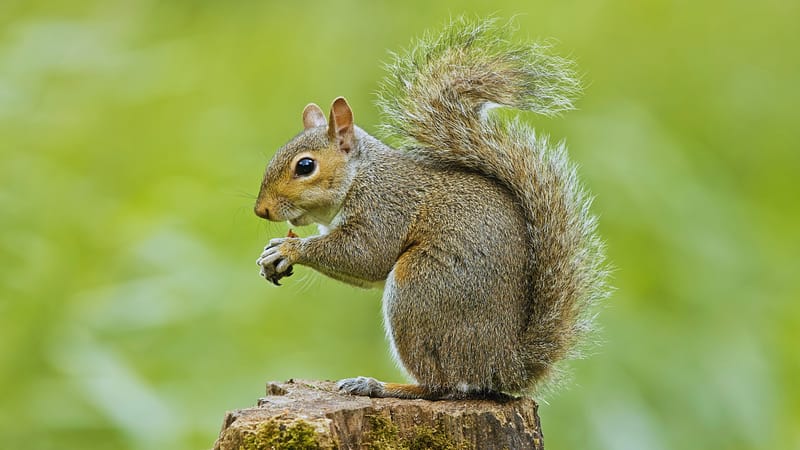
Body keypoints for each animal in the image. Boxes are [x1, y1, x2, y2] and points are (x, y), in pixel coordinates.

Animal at [253, 17, 608, 400]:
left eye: (305, 166)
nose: (261, 211)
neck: (361, 176)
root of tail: (502, 366)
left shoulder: (386, 207)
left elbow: (367, 255)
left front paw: (290, 249)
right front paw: (273, 253)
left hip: (419, 290)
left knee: (441, 384)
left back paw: (379, 385)